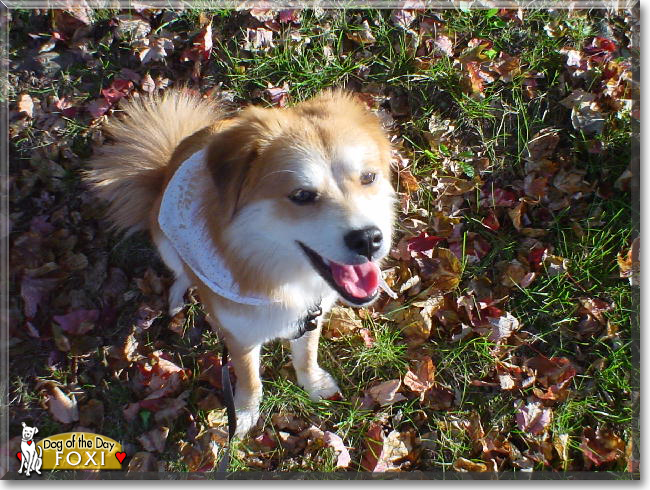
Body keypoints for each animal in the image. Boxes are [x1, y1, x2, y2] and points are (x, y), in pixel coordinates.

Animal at [86, 89, 394, 436]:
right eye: (301, 195)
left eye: (368, 177)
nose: (368, 239)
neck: (285, 279)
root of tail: (165, 170)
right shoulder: (239, 337)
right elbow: (250, 379)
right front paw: (245, 413)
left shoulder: (311, 316)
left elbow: (306, 354)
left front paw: (312, 383)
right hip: (166, 242)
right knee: (181, 271)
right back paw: (179, 294)